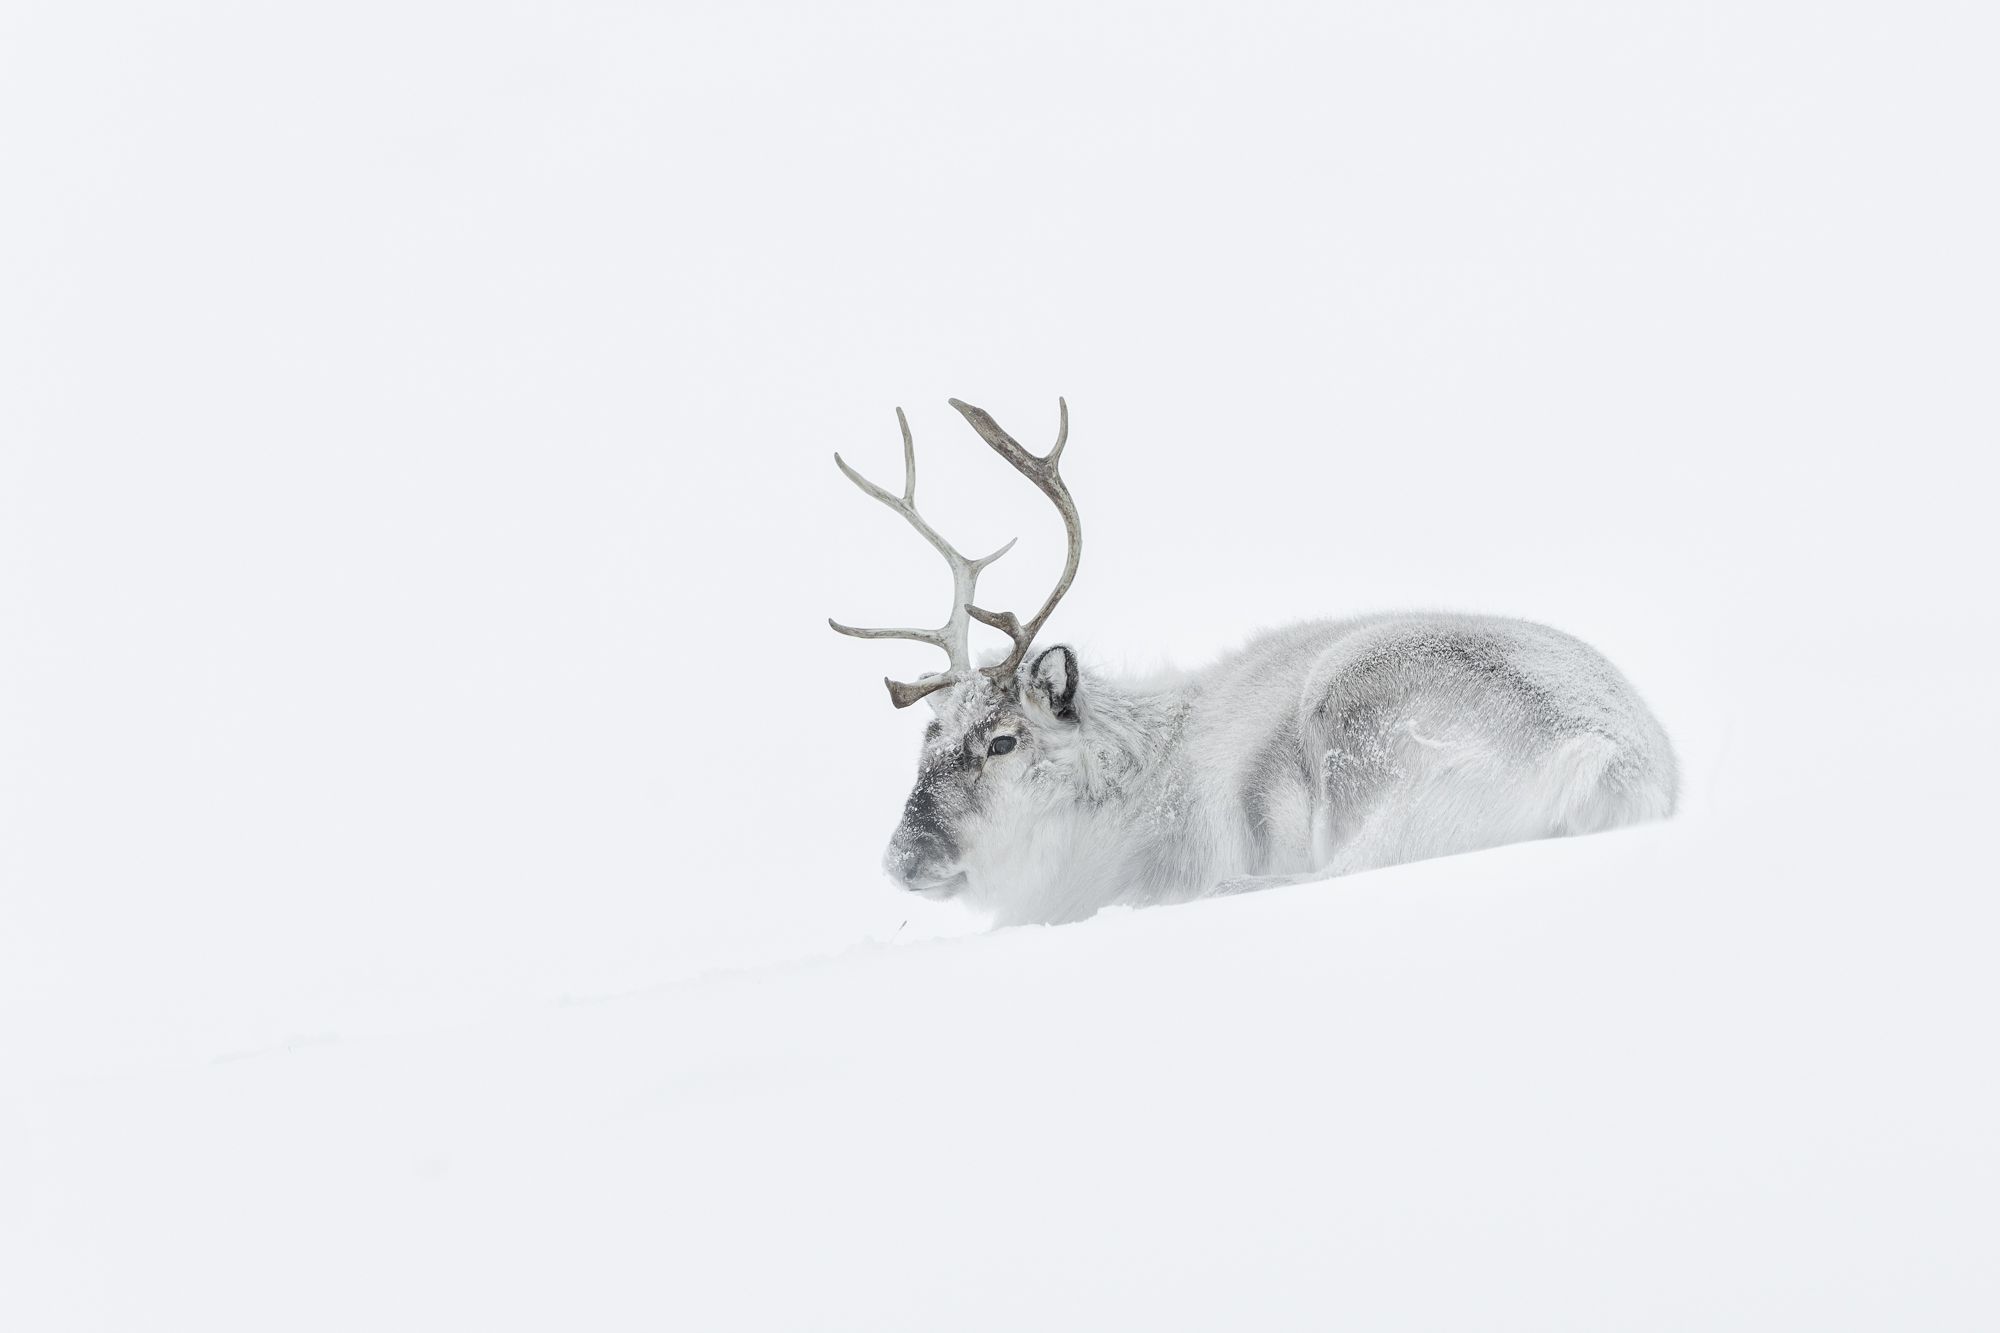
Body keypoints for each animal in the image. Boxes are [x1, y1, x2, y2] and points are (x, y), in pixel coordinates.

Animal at [830, 398, 1678, 927]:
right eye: (928, 739)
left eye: (1002, 740)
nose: (900, 858)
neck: (1128, 782)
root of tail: (1615, 761)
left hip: (1362, 738)